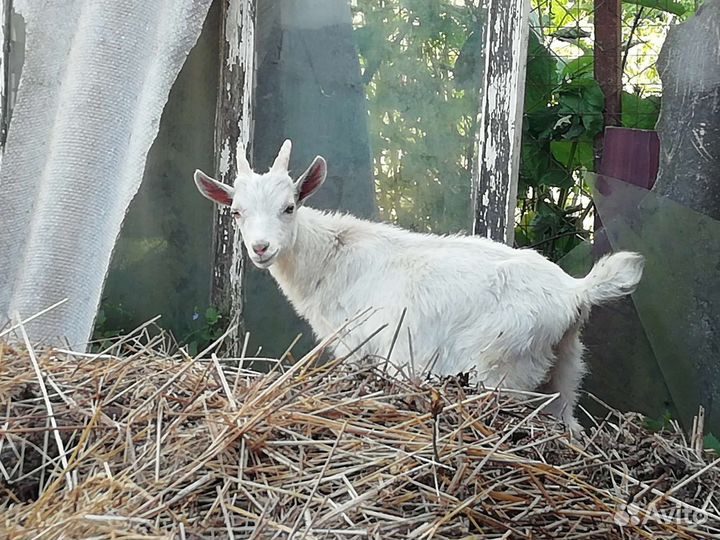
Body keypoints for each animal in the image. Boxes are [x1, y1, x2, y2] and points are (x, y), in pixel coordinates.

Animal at [194, 140, 644, 431]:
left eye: (289, 207)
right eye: (236, 212)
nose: (261, 248)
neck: (331, 258)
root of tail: (576, 292)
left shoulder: (358, 346)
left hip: (502, 368)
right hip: (566, 367)